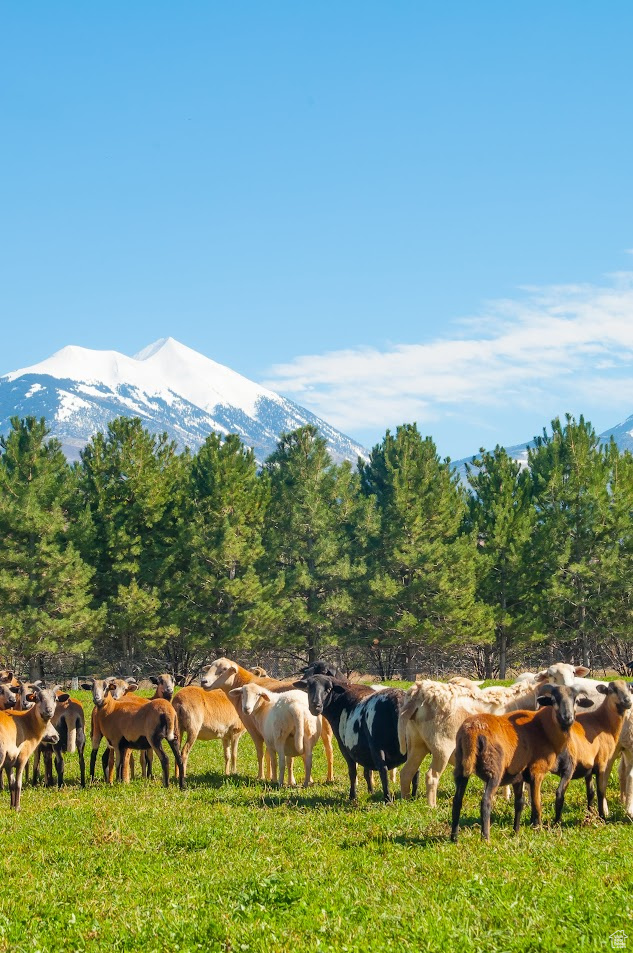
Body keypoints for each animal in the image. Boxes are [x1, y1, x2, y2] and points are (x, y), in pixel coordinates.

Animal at [292, 672, 410, 800]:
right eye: (309, 688)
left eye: (328, 689)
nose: (316, 706)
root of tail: (397, 702)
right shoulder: (364, 749)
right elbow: (367, 772)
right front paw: (370, 791)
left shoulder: (345, 748)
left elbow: (352, 772)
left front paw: (352, 796)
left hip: (378, 746)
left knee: (383, 770)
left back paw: (387, 798)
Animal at [452, 684, 592, 840]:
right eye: (554, 700)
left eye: (576, 700)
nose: (568, 718)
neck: (544, 729)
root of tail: (472, 732)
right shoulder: (537, 771)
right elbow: (536, 802)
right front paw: (538, 828)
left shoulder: (518, 776)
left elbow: (519, 803)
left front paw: (516, 831)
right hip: (493, 771)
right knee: (486, 801)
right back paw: (485, 838)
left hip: (461, 767)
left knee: (457, 801)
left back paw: (454, 838)